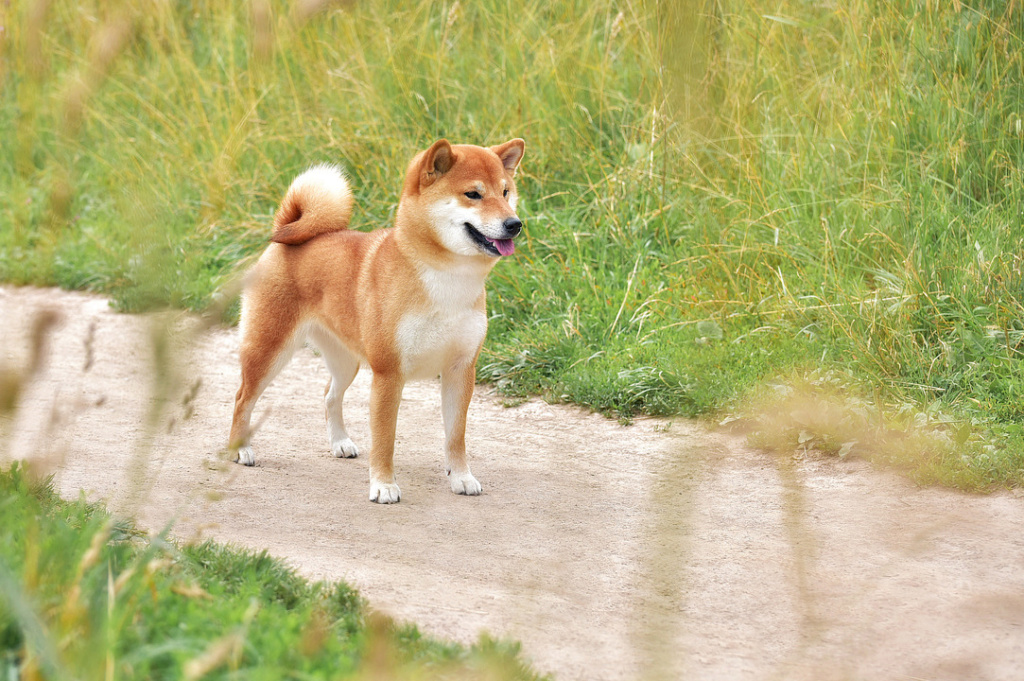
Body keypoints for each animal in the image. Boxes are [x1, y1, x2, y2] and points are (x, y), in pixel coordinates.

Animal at [231, 138, 528, 501]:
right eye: (473, 194)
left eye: (505, 192)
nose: (514, 223)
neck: (448, 280)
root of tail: (283, 234)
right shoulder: (389, 374)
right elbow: (385, 440)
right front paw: (384, 485)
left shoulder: (461, 370)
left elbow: (455, 436)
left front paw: (461, 477)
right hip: (269, 349)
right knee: (243, 398)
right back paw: (239, 449)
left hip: (347, 361)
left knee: (329, 393)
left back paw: (340, 443)